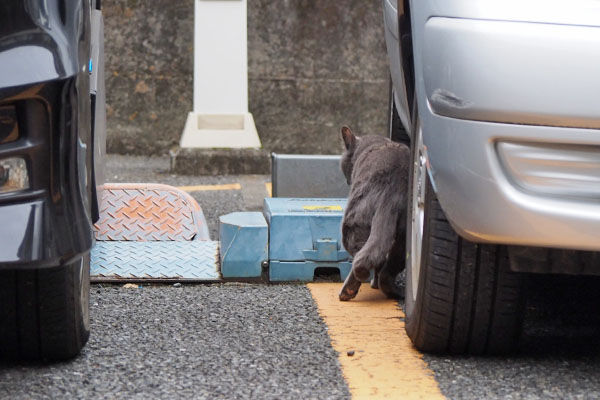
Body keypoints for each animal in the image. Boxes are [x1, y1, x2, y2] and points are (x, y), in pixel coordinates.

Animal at [340, 126, 410, 302]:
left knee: (359, 256)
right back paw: (391, 290)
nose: (347, 181)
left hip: (353, 219)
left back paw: (349, 290)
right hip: (404, 236)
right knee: (386, 265)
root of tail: (393, 189)